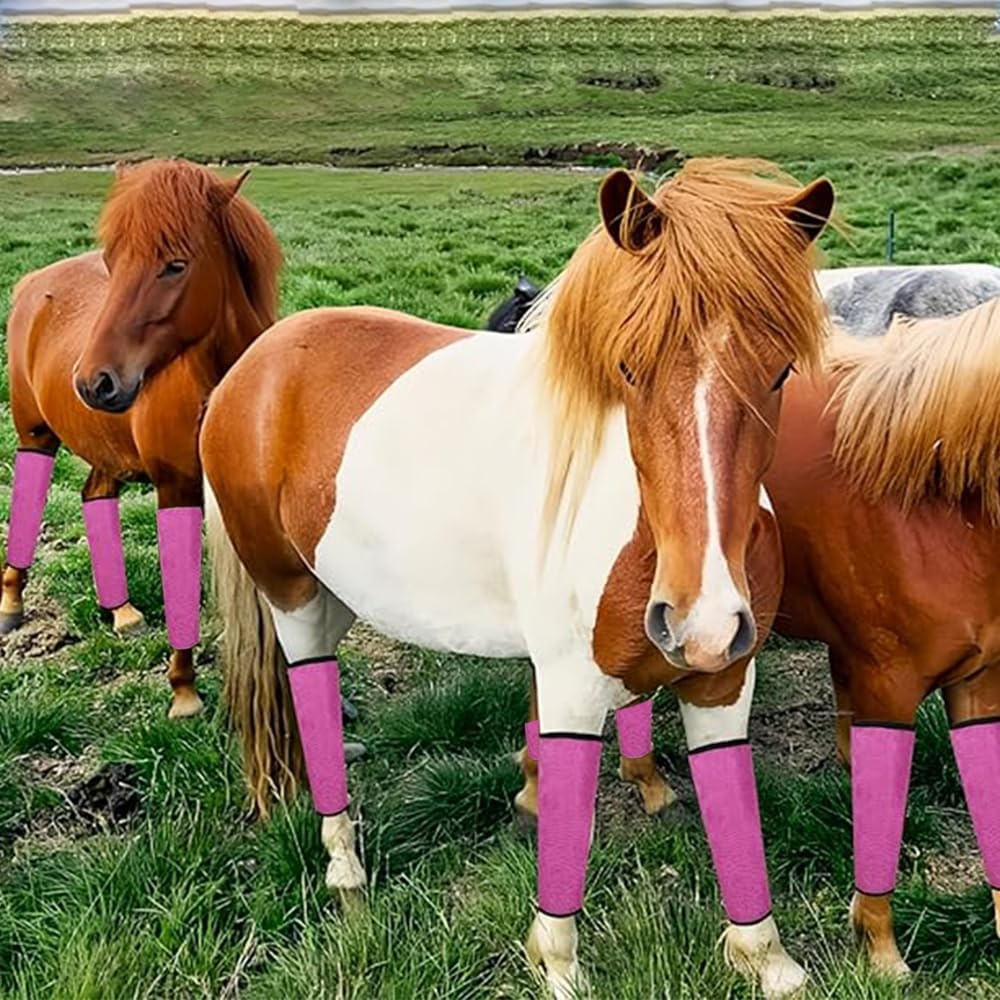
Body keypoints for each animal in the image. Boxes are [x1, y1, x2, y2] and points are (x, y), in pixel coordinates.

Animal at [2, 159, 281, 719]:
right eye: (112, 261)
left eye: (175, 265)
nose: (94, 381)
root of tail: (32, 283)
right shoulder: (176, 487)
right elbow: (180, 584)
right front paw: (184, 690)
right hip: (34, 435)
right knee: (28, 503)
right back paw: (13, 602)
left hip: (102, 449)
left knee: (94, 496)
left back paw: (122, 611)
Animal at [199, 158, 834, 999]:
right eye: (628, 368)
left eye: (780, 371)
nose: (700, 617)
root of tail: (260, 357)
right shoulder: (570, 687)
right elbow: (567, 823)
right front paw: (557, 963)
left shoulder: (722, 681)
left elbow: (735, 814)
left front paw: (764, 956)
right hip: (291, 597)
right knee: (309, 693)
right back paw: (344, 867)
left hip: (335, 593)